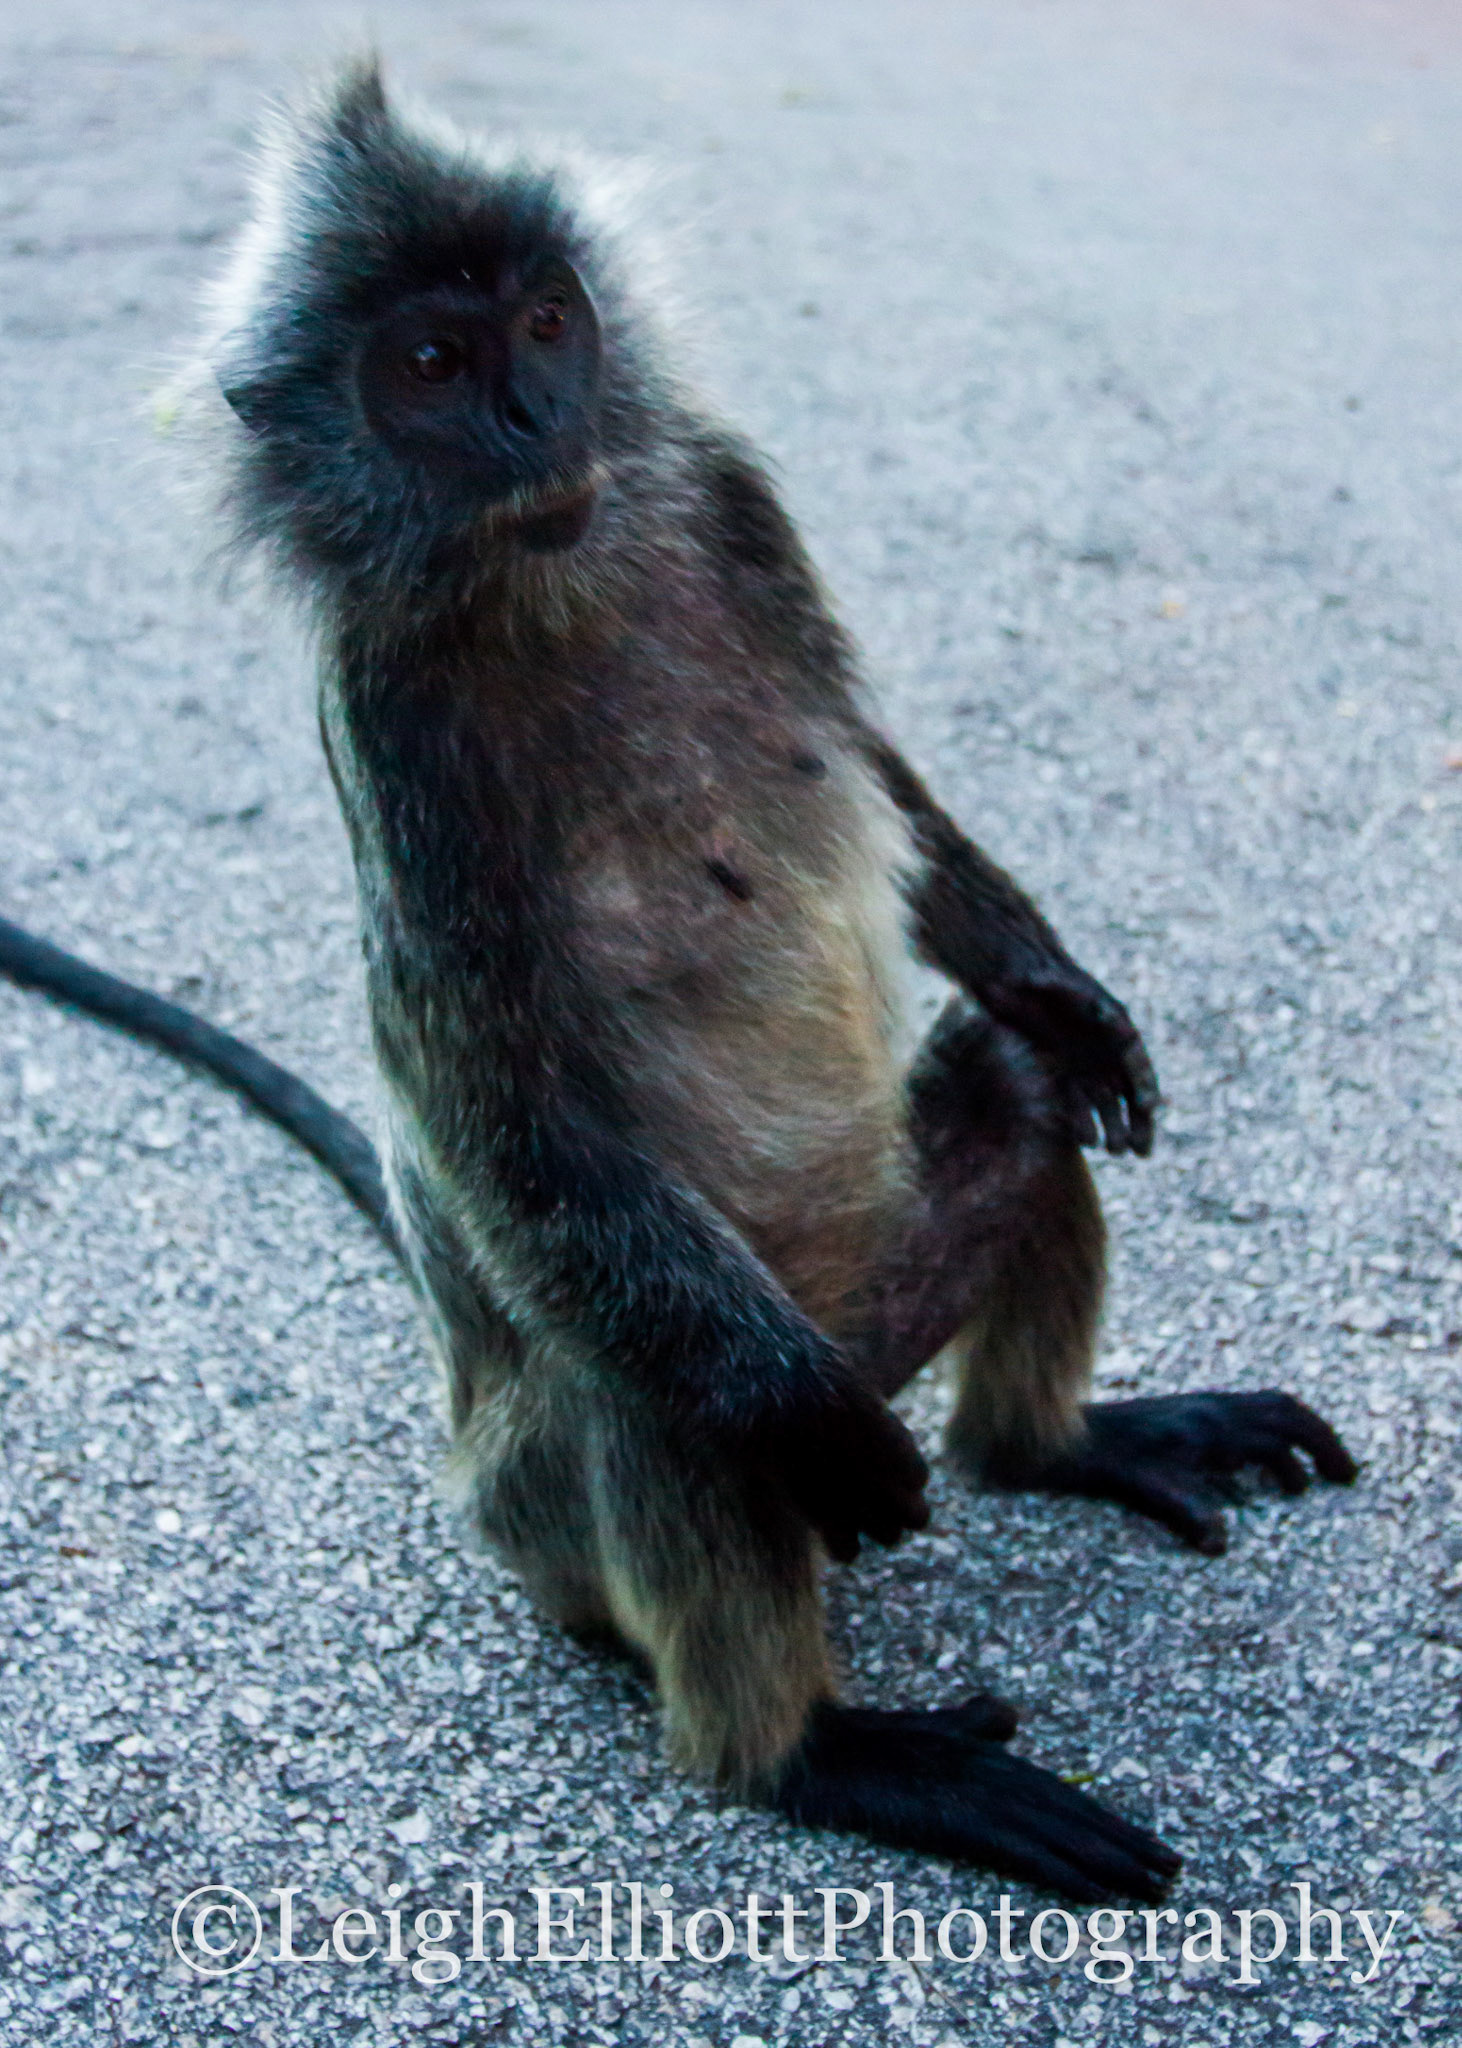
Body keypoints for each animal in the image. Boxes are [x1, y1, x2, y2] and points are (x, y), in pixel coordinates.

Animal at [0, 60, 1358, 1903]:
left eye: (545, 326)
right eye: (428, 366)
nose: (529, 421)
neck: (551, 571)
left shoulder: (722, 496)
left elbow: (872, 776)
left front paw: (1060, 982)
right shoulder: (392, 709)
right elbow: (499, 1119)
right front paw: (814, 1466)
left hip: (893, 1277)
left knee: (1011, 1094)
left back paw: (1059, 1437)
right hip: (562, 1490)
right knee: (658, 1382)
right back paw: (818, 1748)